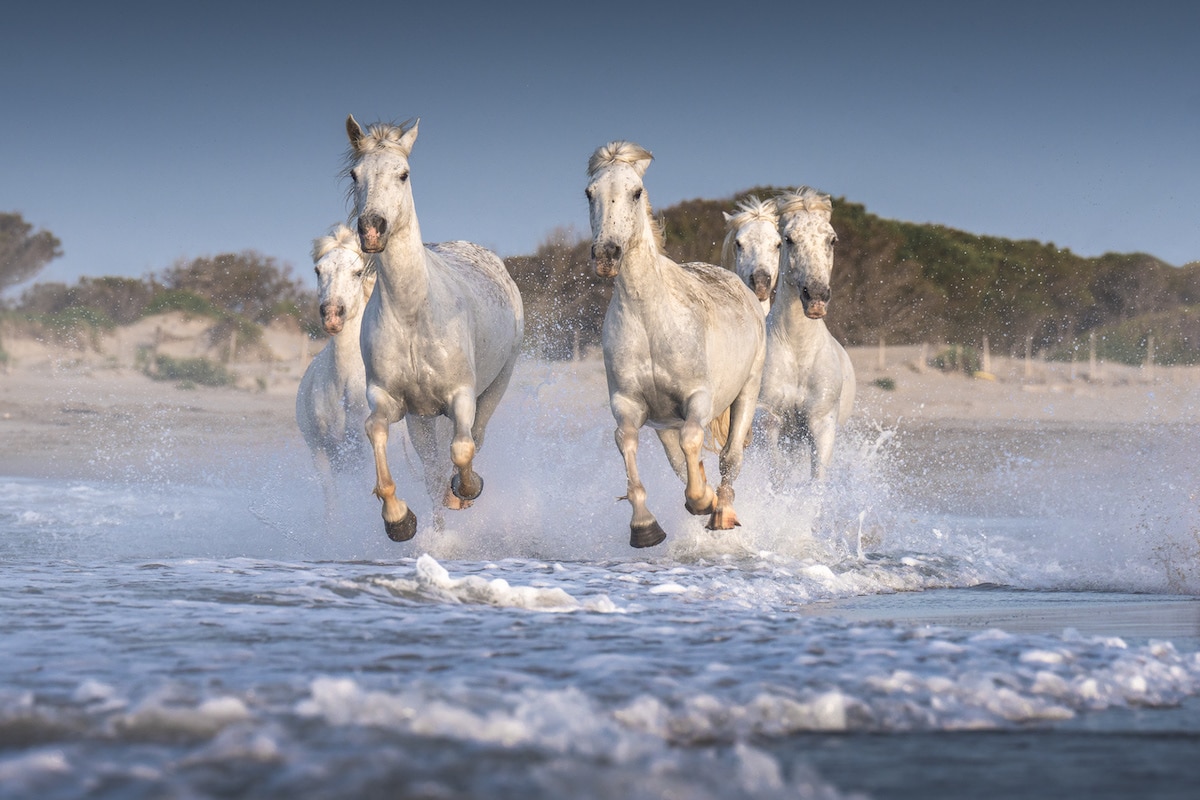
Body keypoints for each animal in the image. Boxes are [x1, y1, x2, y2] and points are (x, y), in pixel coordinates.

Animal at [340, 115, 523, 542]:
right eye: (356, 174)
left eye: (403, 174)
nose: (371, 229)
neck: (413, 314)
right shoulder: (389, 401)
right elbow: (376, 432)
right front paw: (398, 519)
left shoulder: (462, 396)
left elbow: (462, 450)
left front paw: (466, 491)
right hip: (421, 419)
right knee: (431, 468)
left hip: (496, 385)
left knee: (474, 439)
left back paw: (459, 494)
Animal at [585, 140, 763, 546]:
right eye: (590, 193)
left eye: (636, 192)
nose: (606, 255)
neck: (651, 320)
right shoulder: (629, 405)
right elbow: (628, 445)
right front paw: (644, 528)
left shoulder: (698, 399)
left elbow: (694, 440)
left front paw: (703, 501)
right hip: (664, 422)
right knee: (681, 463)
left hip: (747, 390)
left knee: (729, 457)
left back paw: (721, 512)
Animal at [758, 185, 854, 482]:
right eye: (787, 239)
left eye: (832, 240)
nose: (816, 297)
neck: (798, 351)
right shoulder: (767, 417)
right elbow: (776, 468)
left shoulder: (820, 424)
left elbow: (816, 479)